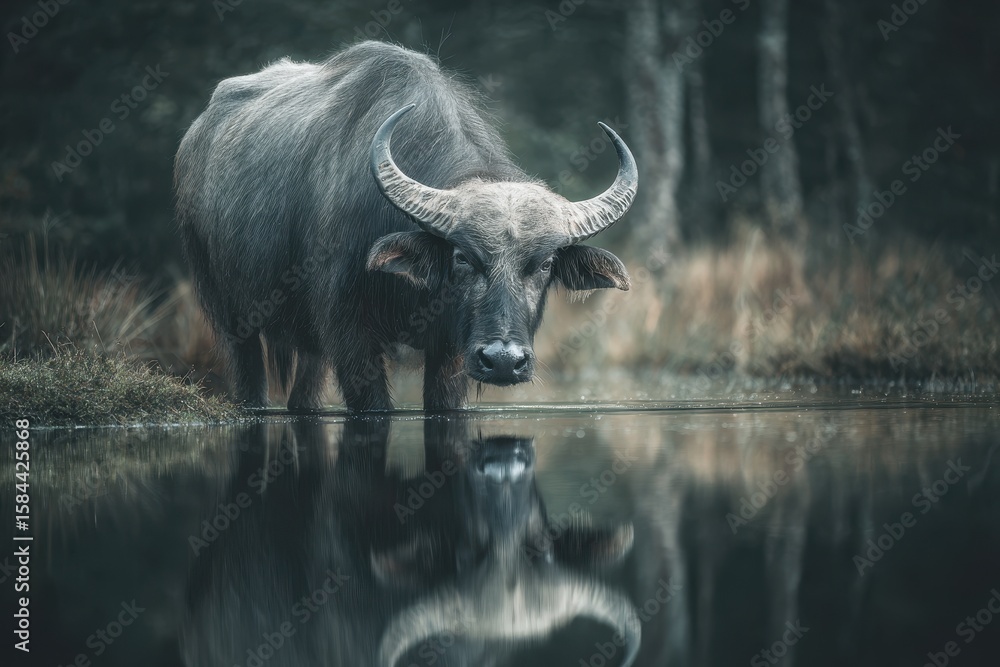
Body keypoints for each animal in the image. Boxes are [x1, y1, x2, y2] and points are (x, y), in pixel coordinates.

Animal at [175, 40, 638, 412]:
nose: (504, 361)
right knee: (248, 375)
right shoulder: (350, 336)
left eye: (544, 264)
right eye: (462, 258)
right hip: (230, 313)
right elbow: (373, 404)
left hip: (307, 345)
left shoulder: (452, 348)